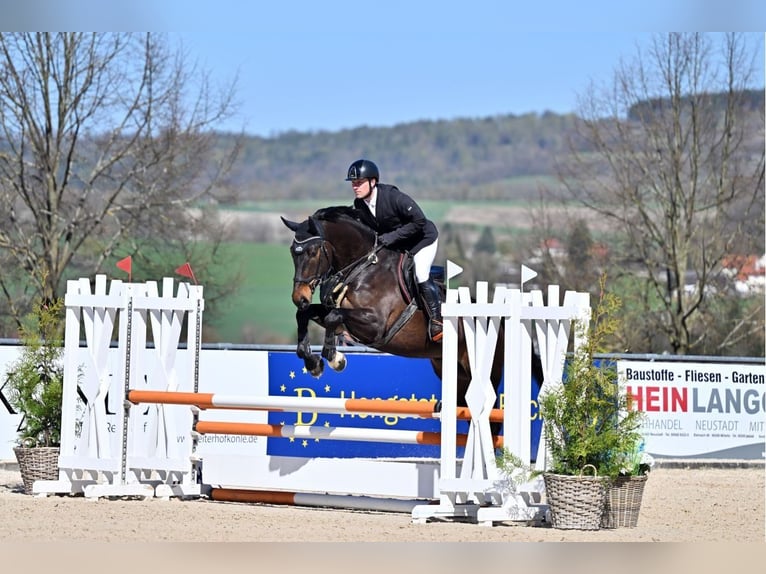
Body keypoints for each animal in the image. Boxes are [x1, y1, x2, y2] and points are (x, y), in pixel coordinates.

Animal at [281, 205, 530, 415]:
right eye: (293, 251)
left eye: (313, 252)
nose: (299, 297)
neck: (363, 267)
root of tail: (497, 320)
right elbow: (305, 315)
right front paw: (312, 363)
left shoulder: (375, 325)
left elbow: (334, 317)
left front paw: (335, 358)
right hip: (452, 370)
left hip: (484, 372)